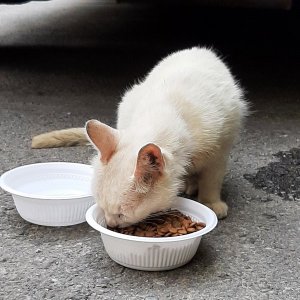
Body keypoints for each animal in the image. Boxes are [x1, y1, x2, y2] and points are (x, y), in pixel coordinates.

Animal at [32, 47, 248, 227]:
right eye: (102, 208)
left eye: (121, 214)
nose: (110, 224)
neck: (164, 109)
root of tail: (198, 49)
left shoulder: (220, 150)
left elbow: (212, 178)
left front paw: (211, 202)